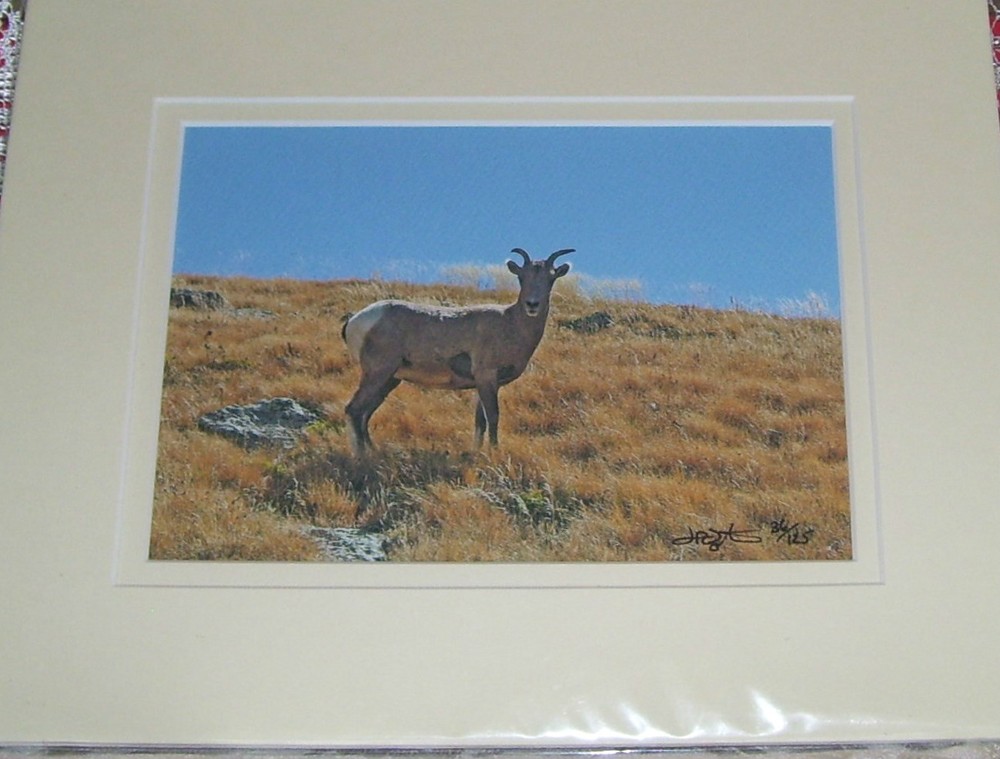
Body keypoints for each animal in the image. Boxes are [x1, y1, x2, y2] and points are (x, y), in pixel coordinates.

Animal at [341, 247, 573, 454]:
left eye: (551, 279)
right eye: (521, 278)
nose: (532, 304)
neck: (511, 324)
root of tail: (355, 320)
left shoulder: (485, 384)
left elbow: (480, 421)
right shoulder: (486, 377)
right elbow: (493, 416)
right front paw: (494, 452)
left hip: (389, 380)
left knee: (365, 414)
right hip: (378, 374)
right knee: (354, 410)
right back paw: (361, 457)